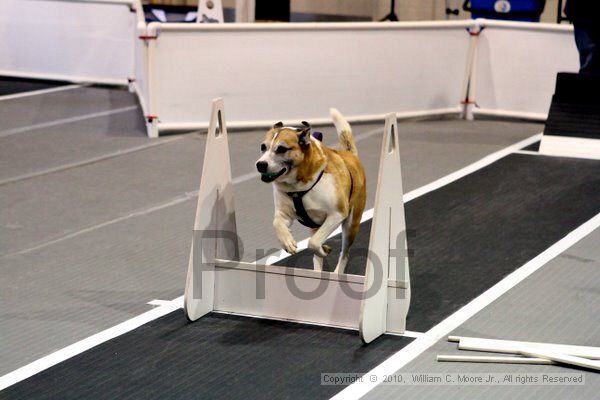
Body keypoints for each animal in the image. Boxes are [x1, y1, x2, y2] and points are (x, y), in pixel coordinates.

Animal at [254, 108, 366, 274]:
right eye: (263, 147)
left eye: (281, 149)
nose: (260, 164)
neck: (297, 188)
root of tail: (350, 155)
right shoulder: (284, 214)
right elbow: (277, 223)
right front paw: (287, 242)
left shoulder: (337, 214)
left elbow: (313, 243)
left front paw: (324, 249)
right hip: (316, 226)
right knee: (317, 253)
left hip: (351, 225)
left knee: (344, 253)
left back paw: (336, 272)